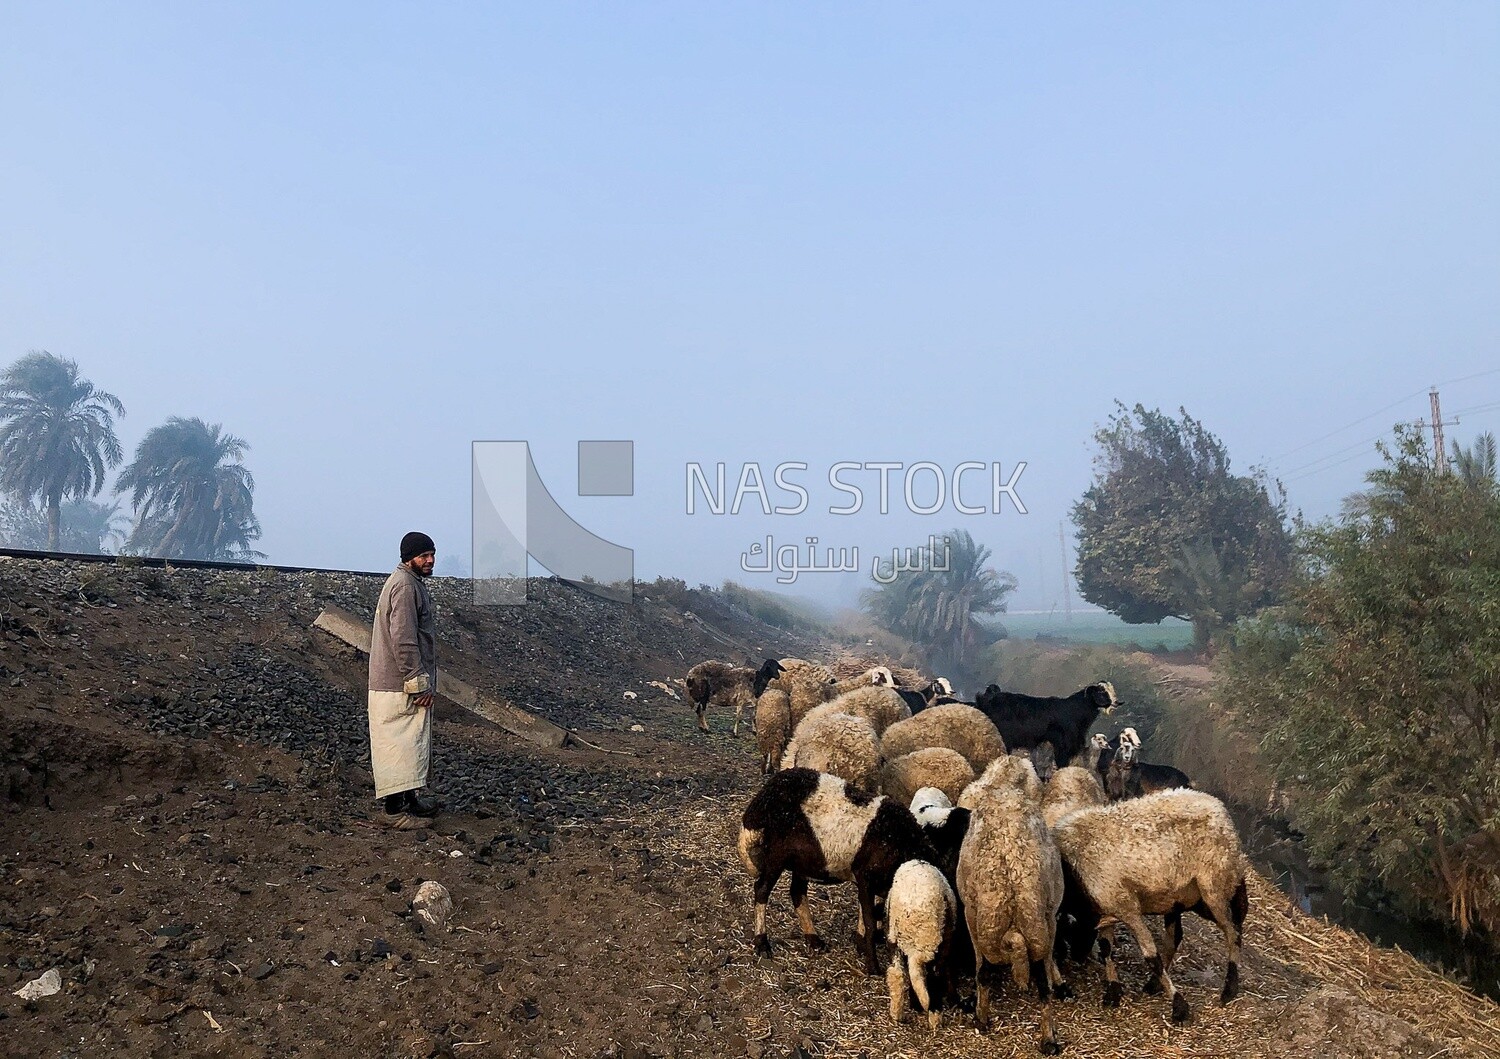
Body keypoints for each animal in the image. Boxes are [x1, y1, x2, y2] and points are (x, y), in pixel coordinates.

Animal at [738, 762, 936, 972]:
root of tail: (764, 796)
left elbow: (867, 913)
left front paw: (861, 944)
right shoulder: (865, 876)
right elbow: (869, 919)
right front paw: (872, 966)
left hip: (803, 859)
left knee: (797, 892)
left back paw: (814, 939)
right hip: (777, 854)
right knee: (762, 890)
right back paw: (762, 943)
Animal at [882, 864, 954, 1026]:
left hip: (893, 938)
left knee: (897, 974)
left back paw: (896, 1013)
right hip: (937, 946)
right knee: (934, 977)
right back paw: (935, 1018)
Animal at [960, 756, 1068, 1050]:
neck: (1005, 789)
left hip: (987, 923)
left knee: (985, 972)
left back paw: (982, 1018)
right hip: (1040, 924)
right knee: (1043, 983)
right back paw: (1049, 1037)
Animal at [1050, 780, 1248, 1020]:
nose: (1077, 956)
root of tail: (1218, 807)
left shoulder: (1126, 907)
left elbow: (1151, 956)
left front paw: (1180, 1007)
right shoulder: (1107, 905)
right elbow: (1107, 948)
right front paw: (1113, 991)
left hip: (1214, 888)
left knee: (1233, 929)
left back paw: (1229, 989)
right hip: (1180, 897)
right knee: (1177, 936)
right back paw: (1154, 985)